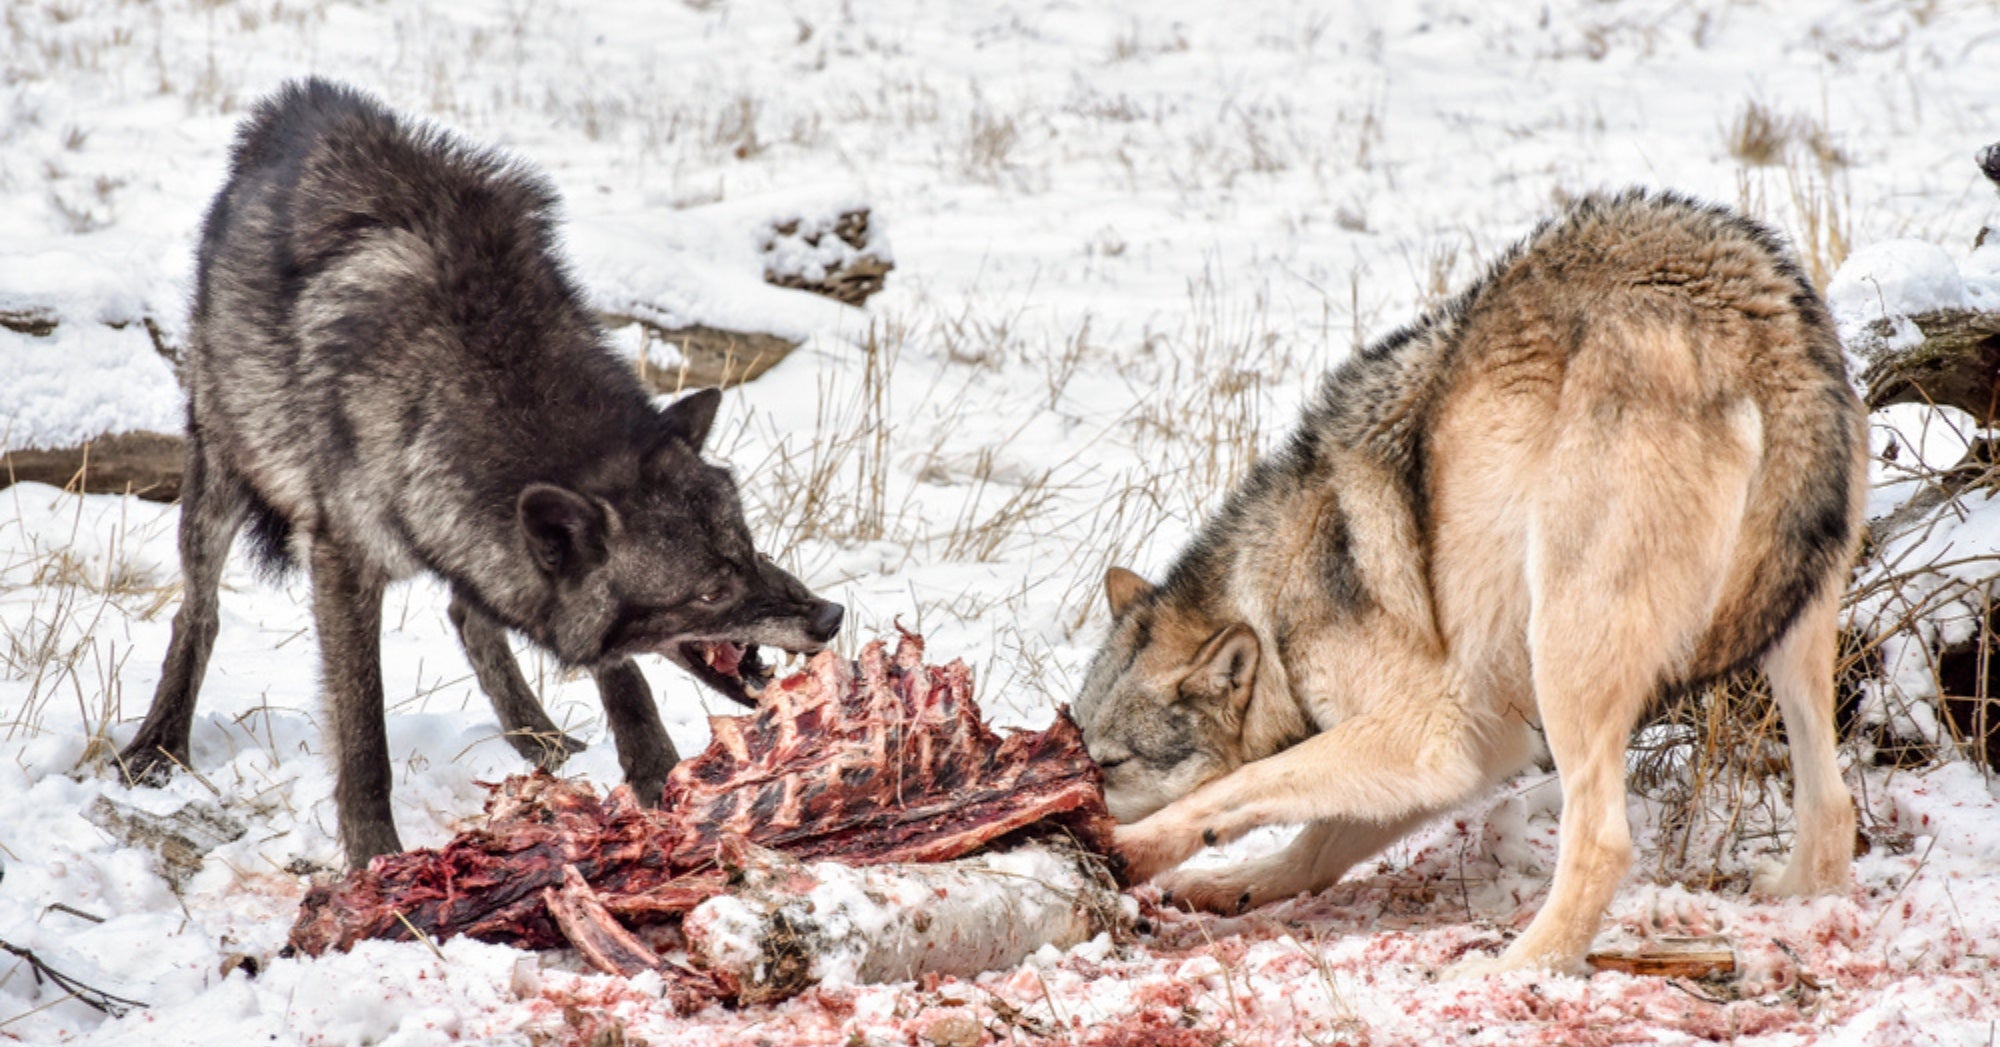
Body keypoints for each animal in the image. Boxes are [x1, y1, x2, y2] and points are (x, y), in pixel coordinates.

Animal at [123, 79, 844, 867]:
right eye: (712, 591)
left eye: (748, 548)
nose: (829, 617)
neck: (475, 376)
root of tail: (300, 101)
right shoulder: (341, 561)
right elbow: (364, 729)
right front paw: (373, 855)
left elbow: (627, 682)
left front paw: (657, 781)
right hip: (220, 475)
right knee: (198, 611)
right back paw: (156, 746)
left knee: (469, 615)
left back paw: (542, 740)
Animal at [1072, 187, 1864, 975]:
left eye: (1109, 764)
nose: (1064, 817)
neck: (1276, 601)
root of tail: (1756, 317)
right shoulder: (1475, 747)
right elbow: (1315, 844)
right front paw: (1229, 886)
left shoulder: (1428, 734)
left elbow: (1241, 789)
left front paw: (1130, 848)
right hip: (1793, 625)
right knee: (1833, 809)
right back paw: (1794, 892)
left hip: (1567, 653)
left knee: (1603, 840)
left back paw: (1518, 966)